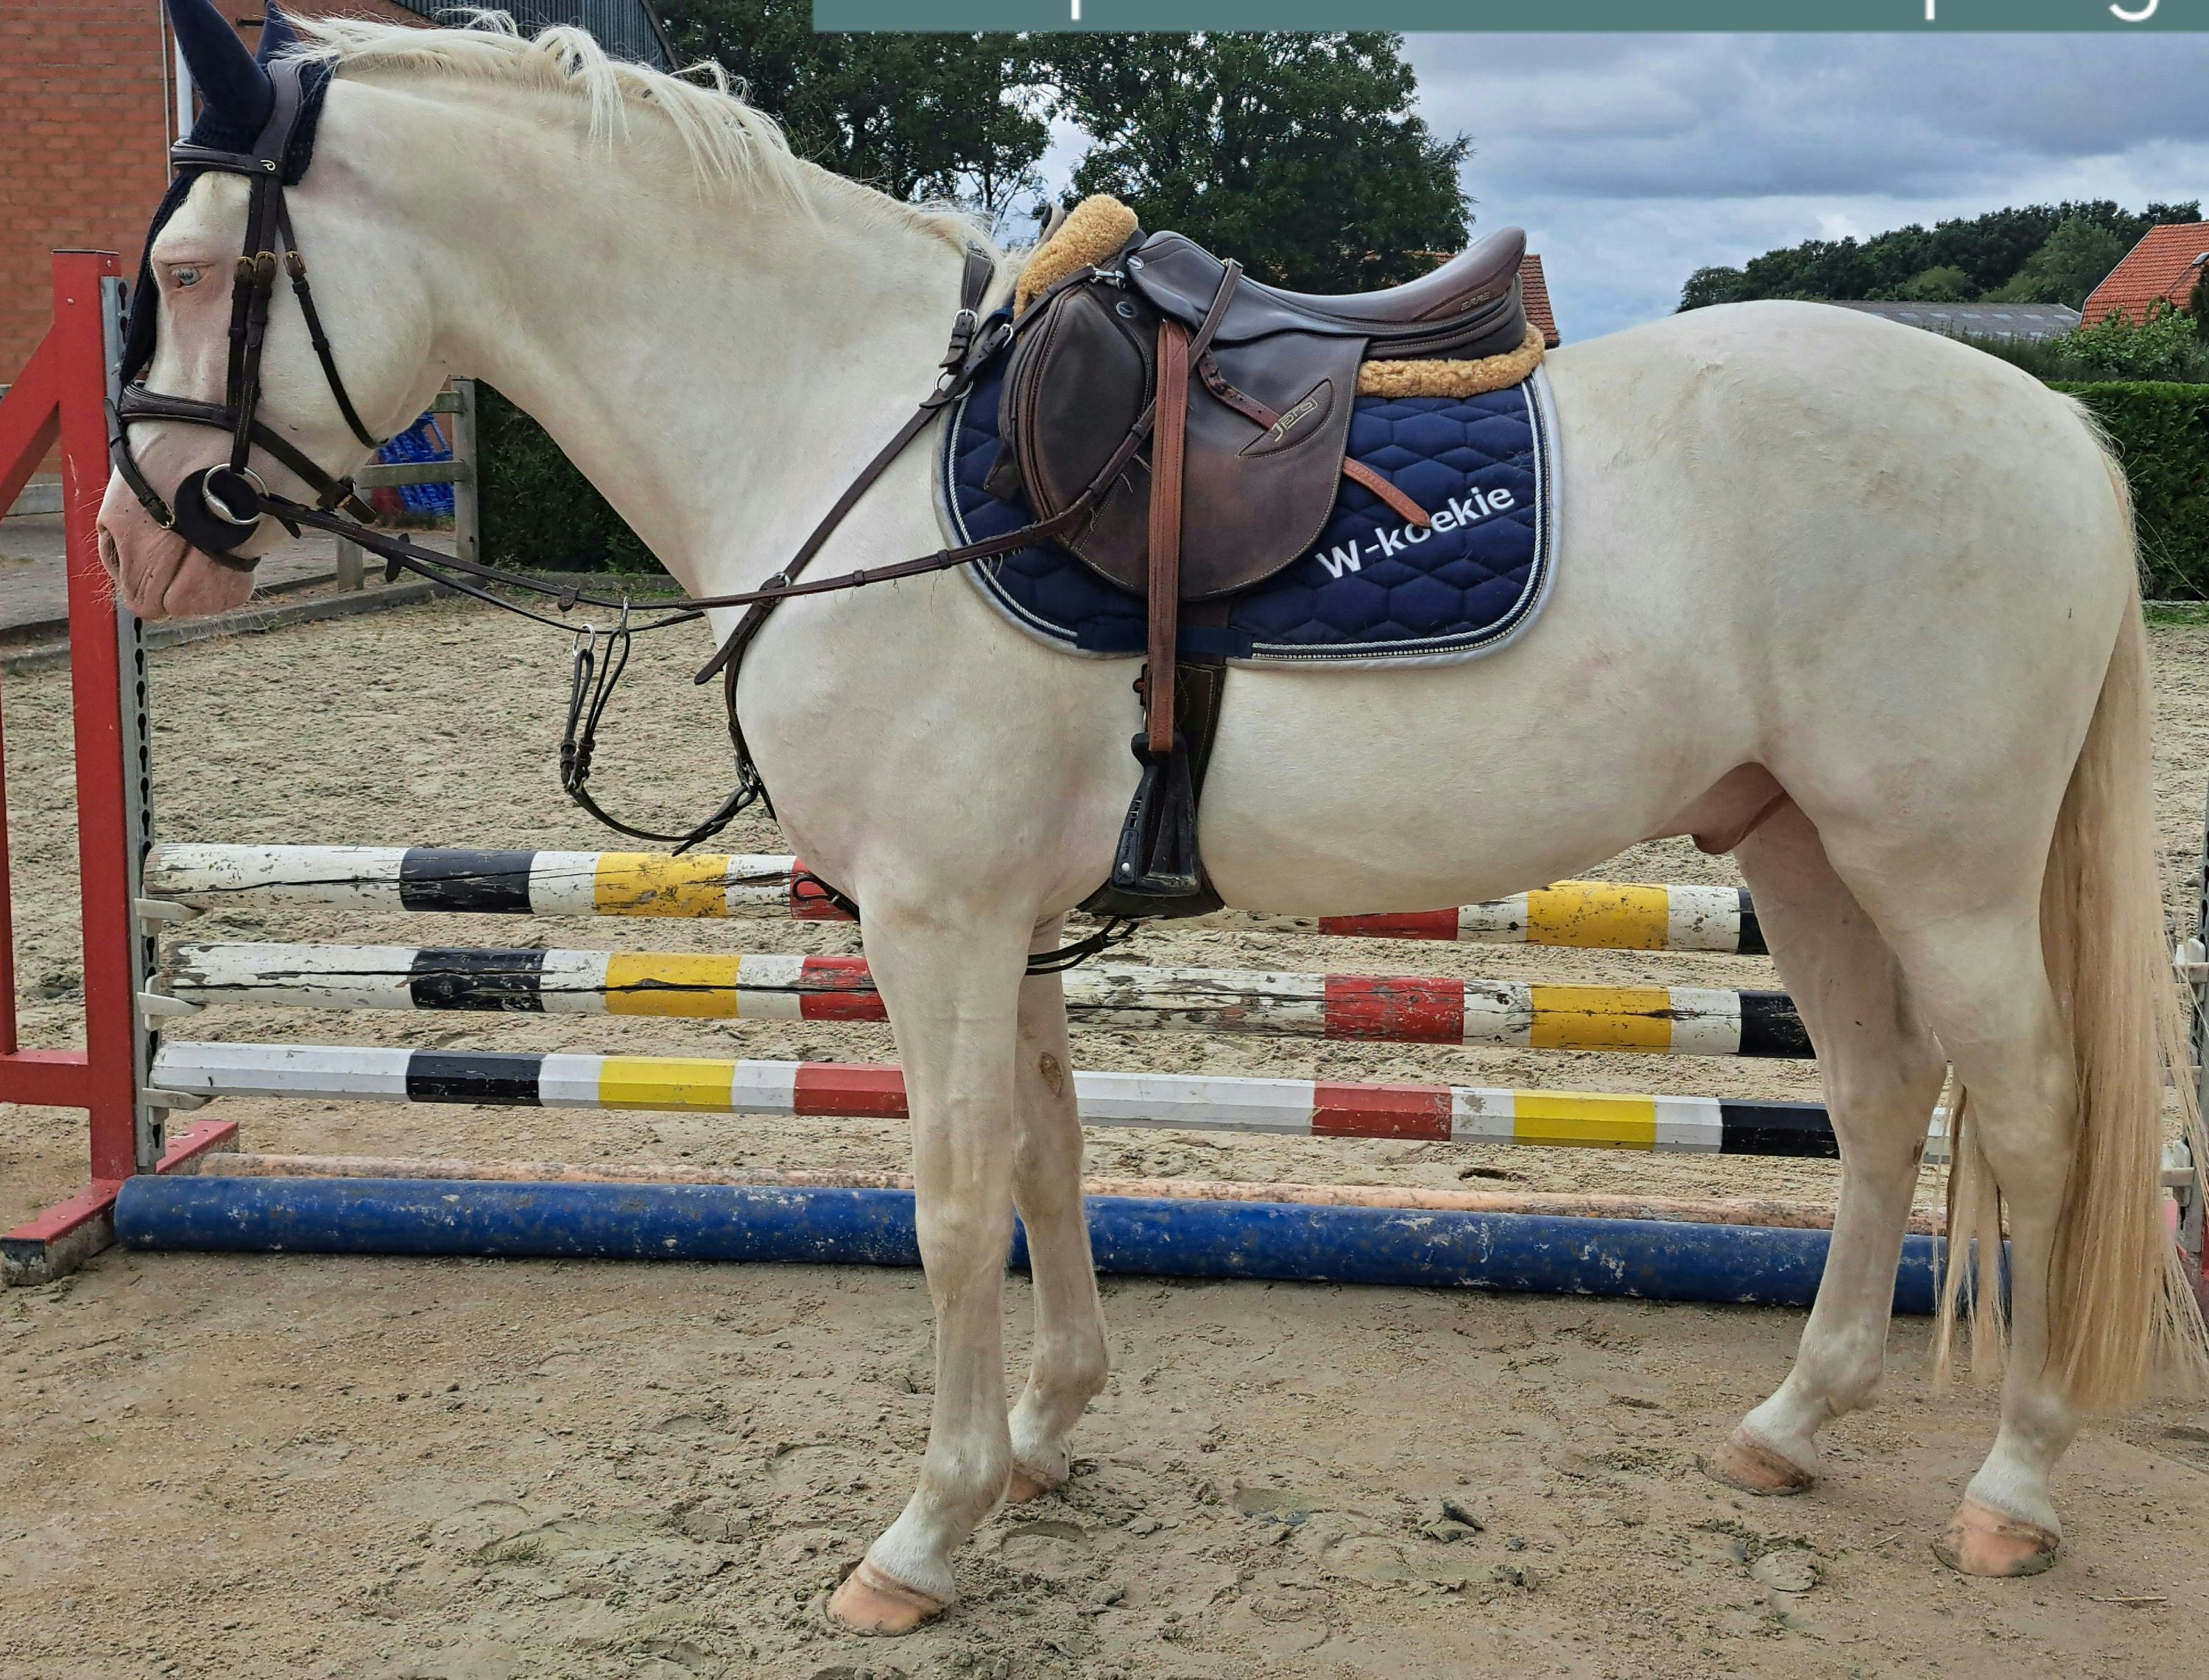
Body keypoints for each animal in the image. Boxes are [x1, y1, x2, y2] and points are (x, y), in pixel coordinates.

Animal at [100, 6, 2207, 1634]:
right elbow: (1046, 1161)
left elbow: (954, 1199)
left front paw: (923, 1532)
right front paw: (1042, 1439)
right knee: (1880, 1097)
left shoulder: (934, 922)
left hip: (1934, 864)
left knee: (2029, 1115)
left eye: (194, 274)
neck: (839, 426)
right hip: (1794, 845)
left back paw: (2013, 1485)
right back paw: (1792, 1423)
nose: (134, 541)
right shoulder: (1007, 923)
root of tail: (2050, 424)